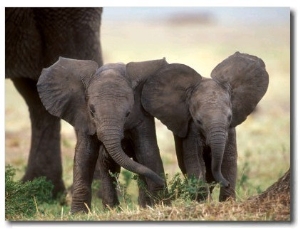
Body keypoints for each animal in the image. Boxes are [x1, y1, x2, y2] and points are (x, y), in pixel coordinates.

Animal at [36, 56, 168, 213]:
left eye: (128, 113)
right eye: (92, 111)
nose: (163, 181)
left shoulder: (142, 115)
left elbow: (147, 151)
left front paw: (163, 205)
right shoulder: (83, 116)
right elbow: (85, 155)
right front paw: (78, 214)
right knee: (108, 163)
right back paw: (112, 210)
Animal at [141, 52, 270, 202]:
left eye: (230, 117)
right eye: (198, 121)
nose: (226, 183)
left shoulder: (230, 130)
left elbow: (229, 159)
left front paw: (226, 201)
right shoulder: (191, 129)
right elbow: (195, 161)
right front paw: (205, 201)